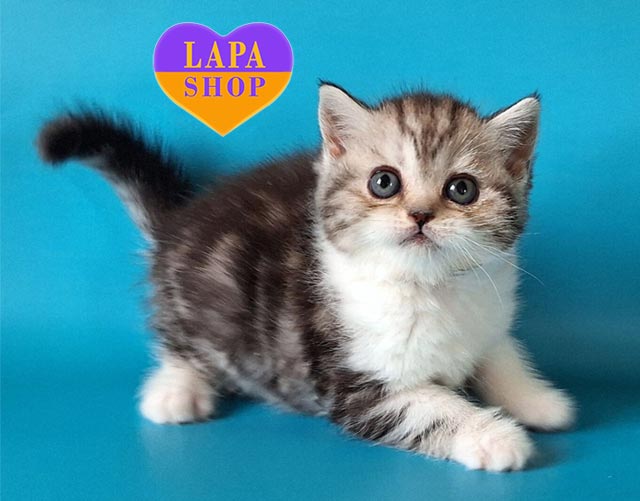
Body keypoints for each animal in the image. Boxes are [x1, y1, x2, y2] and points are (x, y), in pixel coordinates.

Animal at [37, 82, 575, 472]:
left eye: (462, 189)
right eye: (384, 182)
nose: (421, 216)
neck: (429, 289)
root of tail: (180, 219)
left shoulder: (488, 311)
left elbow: (501, 355)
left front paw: (539, 400)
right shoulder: (355, 383)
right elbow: (435, 408)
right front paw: (495, 436)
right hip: (203, 300)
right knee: (178, 340)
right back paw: (175, 391)